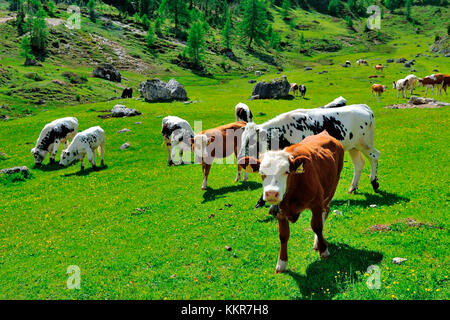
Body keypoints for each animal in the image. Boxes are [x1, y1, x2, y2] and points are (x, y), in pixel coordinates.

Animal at [237, 104, 382, 208]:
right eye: (242, 139)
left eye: (251, 142)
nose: (240, 159)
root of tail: (363, 107)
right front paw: (262, 201)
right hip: (353, 147)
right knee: (359, 164)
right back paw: (353, 187)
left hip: (365, 144)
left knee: (375, 156)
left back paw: (374, 183)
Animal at [239, 130, 344, 272]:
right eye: (261, 172)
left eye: (286, 172)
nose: (271, 193)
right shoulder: (280, 211)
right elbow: (283, 235)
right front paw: (282, 262)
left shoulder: (316, 203)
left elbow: (317, 226)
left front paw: (324, 251)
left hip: (330, 190)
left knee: (325, 211)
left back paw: (318, 242)